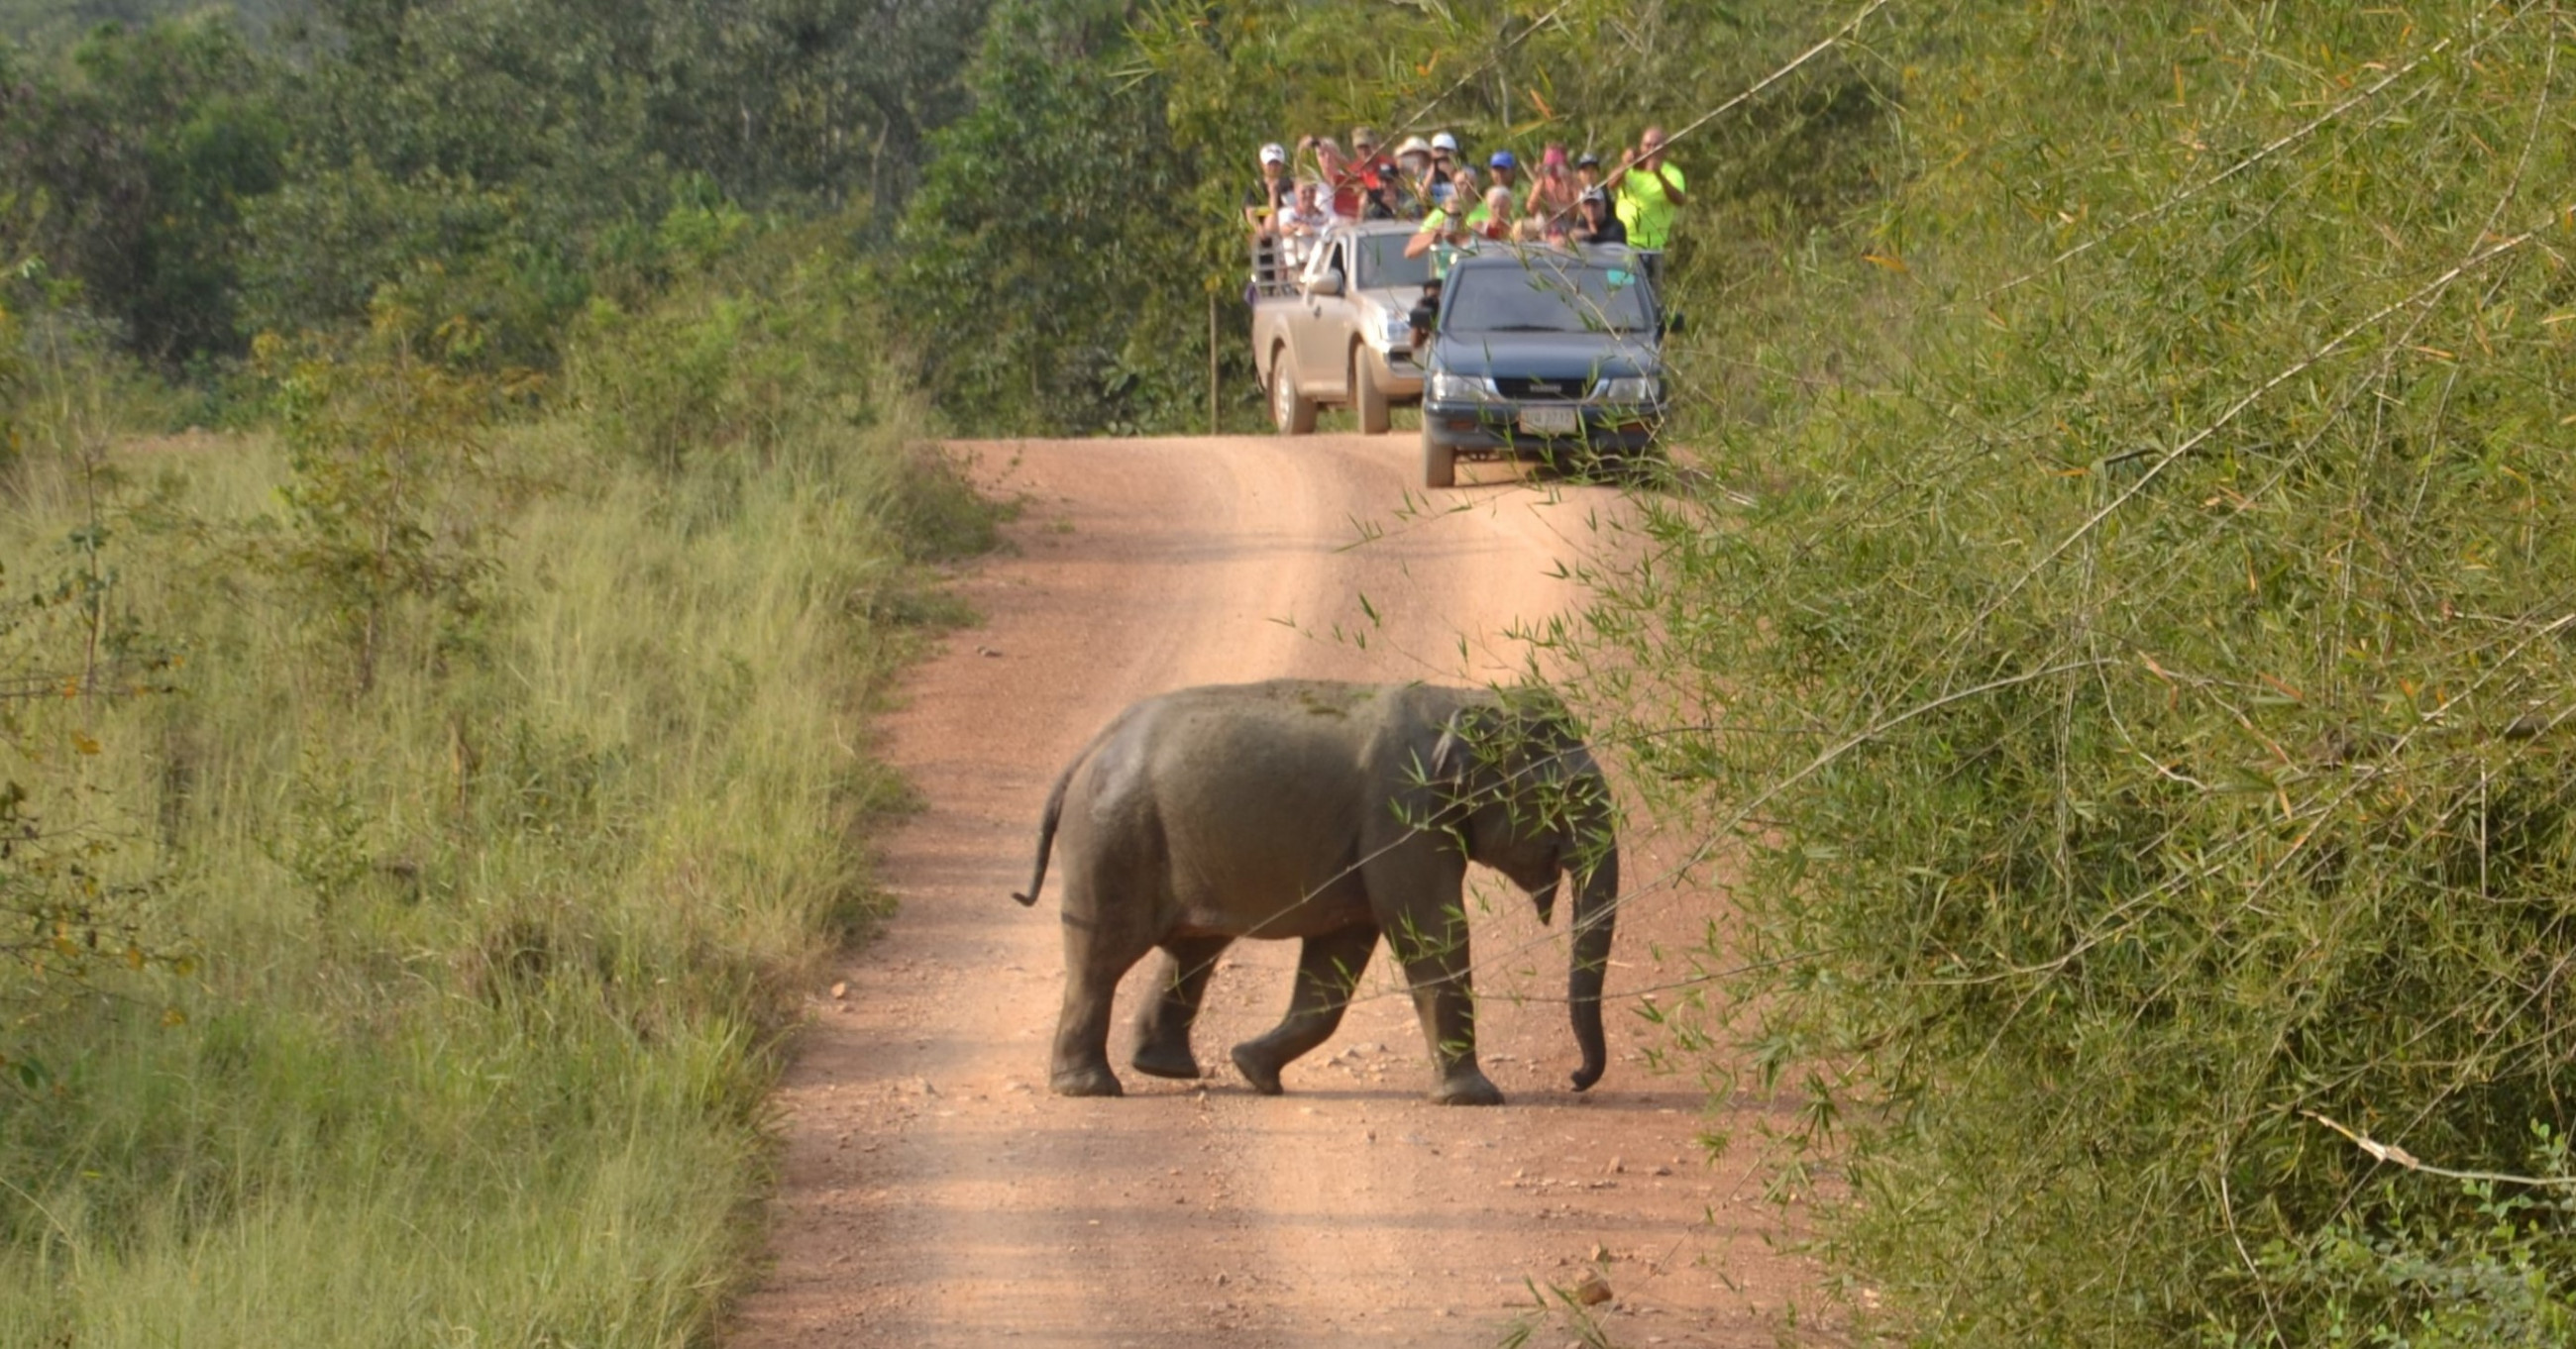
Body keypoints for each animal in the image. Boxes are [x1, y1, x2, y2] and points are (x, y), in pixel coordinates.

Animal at [999, 679, 1607, 1101]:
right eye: (1564, 795)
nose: (1576, 1078)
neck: (1461, 700)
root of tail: (1087, 750)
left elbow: (1339, 956)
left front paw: (1252, 1069)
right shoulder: (1401, 814)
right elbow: (1428, 932)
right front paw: (1475, 1099)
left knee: (1191, 950)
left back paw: (1166, 1069)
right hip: (1111, 841)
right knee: (1102, 958)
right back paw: (1092, 1088)